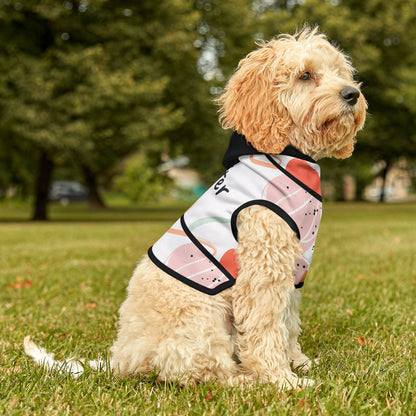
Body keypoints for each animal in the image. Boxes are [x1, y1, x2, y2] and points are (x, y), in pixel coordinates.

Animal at [24, 27, 366, 388]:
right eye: (305, 75)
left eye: (340, 72)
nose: (352, 94)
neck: (286, 154)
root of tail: (122, 358)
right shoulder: (262, 270)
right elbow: (266, 327)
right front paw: (281, 379)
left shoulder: (293, 269)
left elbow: (288, 323)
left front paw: (298, 363)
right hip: (202, 315)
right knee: (201, 371)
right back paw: (244, 380)